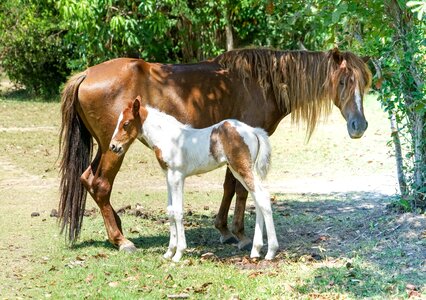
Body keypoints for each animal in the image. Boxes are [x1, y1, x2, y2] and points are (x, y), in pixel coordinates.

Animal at [108, 95, 278, 262]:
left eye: (126, 123)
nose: (113, 146)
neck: (168, 138)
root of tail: (253, 131)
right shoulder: (168, 177)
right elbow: (170, 210)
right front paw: (169, 252)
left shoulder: (177, 176)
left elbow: (178, 211)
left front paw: (178, 253)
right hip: (238, 171)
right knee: (258, 199)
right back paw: (255, 250)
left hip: (242, 169)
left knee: (262, 197)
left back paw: (271, 251)